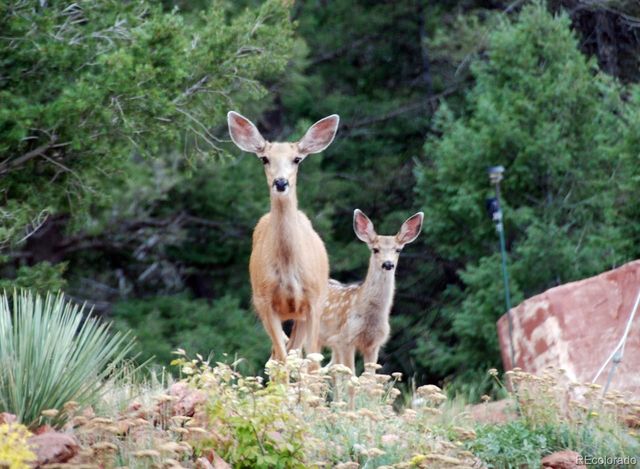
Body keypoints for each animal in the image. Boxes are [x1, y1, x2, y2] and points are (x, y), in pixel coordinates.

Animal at [227, 111, 340, 365]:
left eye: (297, 159)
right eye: (264, 159)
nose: (280, 182)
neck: (288, 268)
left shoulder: (315, 300)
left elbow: (311, 362)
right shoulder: (264, 301)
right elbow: (283, 359)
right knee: (279, 354)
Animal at [319, 209, 424, 373]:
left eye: (398, 250)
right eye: (375, 249)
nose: (388, 264)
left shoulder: (374, 344)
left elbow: (370, 377)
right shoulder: (345, 338)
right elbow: (351, 376)